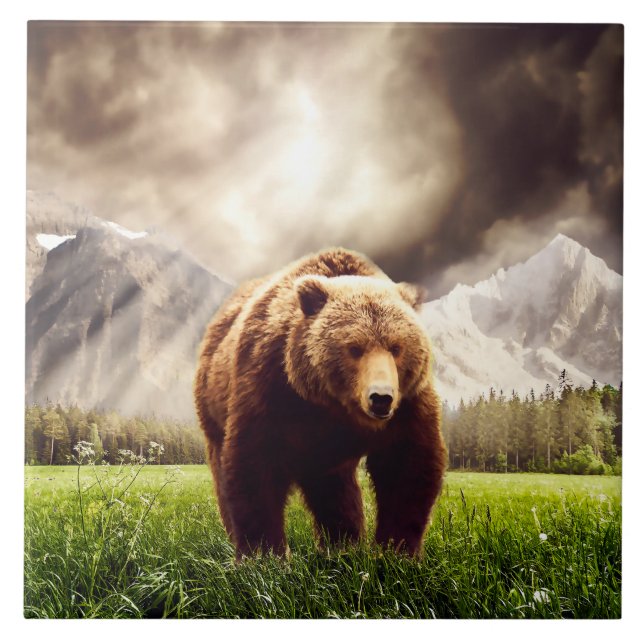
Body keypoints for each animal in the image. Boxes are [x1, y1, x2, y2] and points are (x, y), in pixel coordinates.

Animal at [194, 248, 446, 558]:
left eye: (396, 347)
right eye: (354, 348)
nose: (381, 398)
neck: (332, 405)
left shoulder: (408, 403)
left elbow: (407, 465)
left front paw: (395, 551)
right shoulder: (269, 384)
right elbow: (255, 462)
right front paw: (265, 554)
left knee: (334, 488)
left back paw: (343, 544)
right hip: (213, 405)